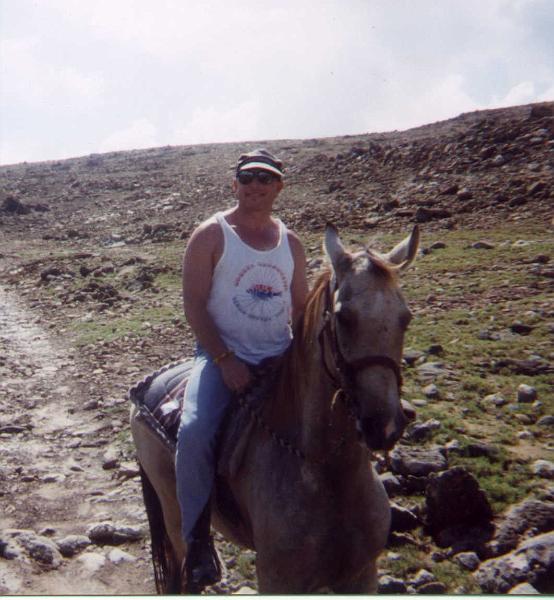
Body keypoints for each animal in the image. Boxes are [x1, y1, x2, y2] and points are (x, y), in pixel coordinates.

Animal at [129, 223, 418, 592]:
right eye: (343, 317)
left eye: (405, 318)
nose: (384, 425)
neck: (327, 471)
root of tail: (147, 385)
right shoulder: (278, 580)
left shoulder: (361, 575)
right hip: (174, 515)